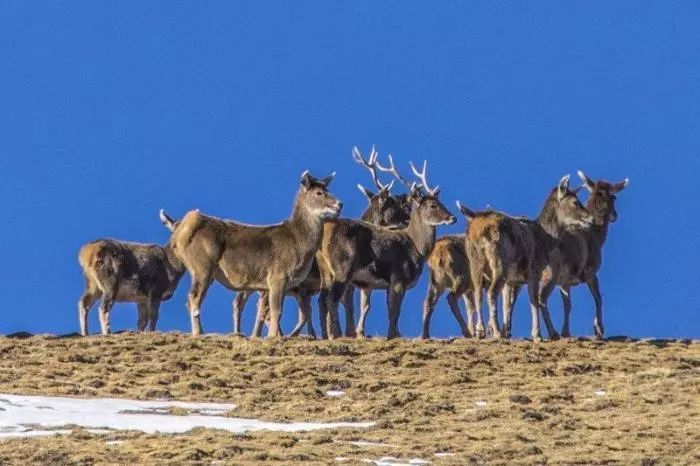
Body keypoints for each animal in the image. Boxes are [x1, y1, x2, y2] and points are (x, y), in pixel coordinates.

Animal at [316, 159, 454, 338]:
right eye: (432, 205)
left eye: (441, 202)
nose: (453, 217)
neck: (415, 247)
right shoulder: (398, 276)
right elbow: (395, 311)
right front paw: (392, 335)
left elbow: (388, 309)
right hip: (342, 266)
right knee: (332, 298)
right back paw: (336, 334)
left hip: (325, 269)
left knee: (321, 299)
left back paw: (325, 335)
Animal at [462, 175, 592, 342]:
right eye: (575, 202)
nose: (590, 219)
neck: (546, 239)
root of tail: (477, 229)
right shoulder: (534, 272)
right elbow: (534, 301)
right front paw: (537, 335)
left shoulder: (514, 280)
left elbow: (509, 304)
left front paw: (509, 331)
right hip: (499, 263)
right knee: (491, 292)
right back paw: (496, 332)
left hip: (475, 262)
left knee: (478, 292)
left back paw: (481, 331)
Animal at [552, 171, 628, 338]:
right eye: (614, 197)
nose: (615, 216)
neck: (596, 234)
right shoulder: (590, 271)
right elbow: (598, 298)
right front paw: (599, 329)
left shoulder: (565, 281)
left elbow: (567, 304)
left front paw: (565, 332)